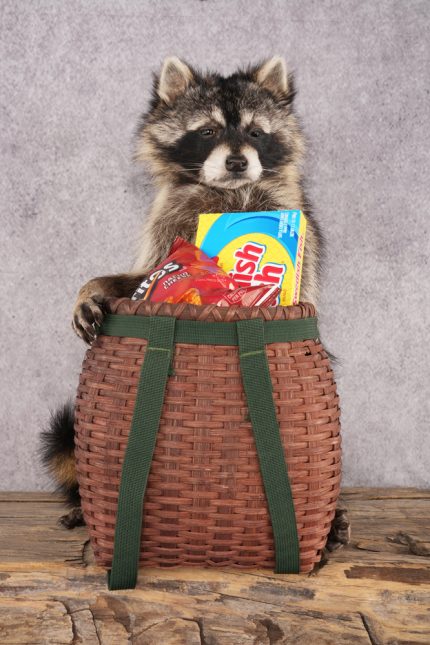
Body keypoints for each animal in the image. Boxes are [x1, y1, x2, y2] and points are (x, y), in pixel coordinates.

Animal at [40, 56, 350, 552]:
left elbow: (299, 290)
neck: (228, 192)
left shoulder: (296, 218)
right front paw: (95, 286)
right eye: (207, 131)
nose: (239, 160)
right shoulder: (170, 221)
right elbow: (144, 273)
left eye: (256, 132)